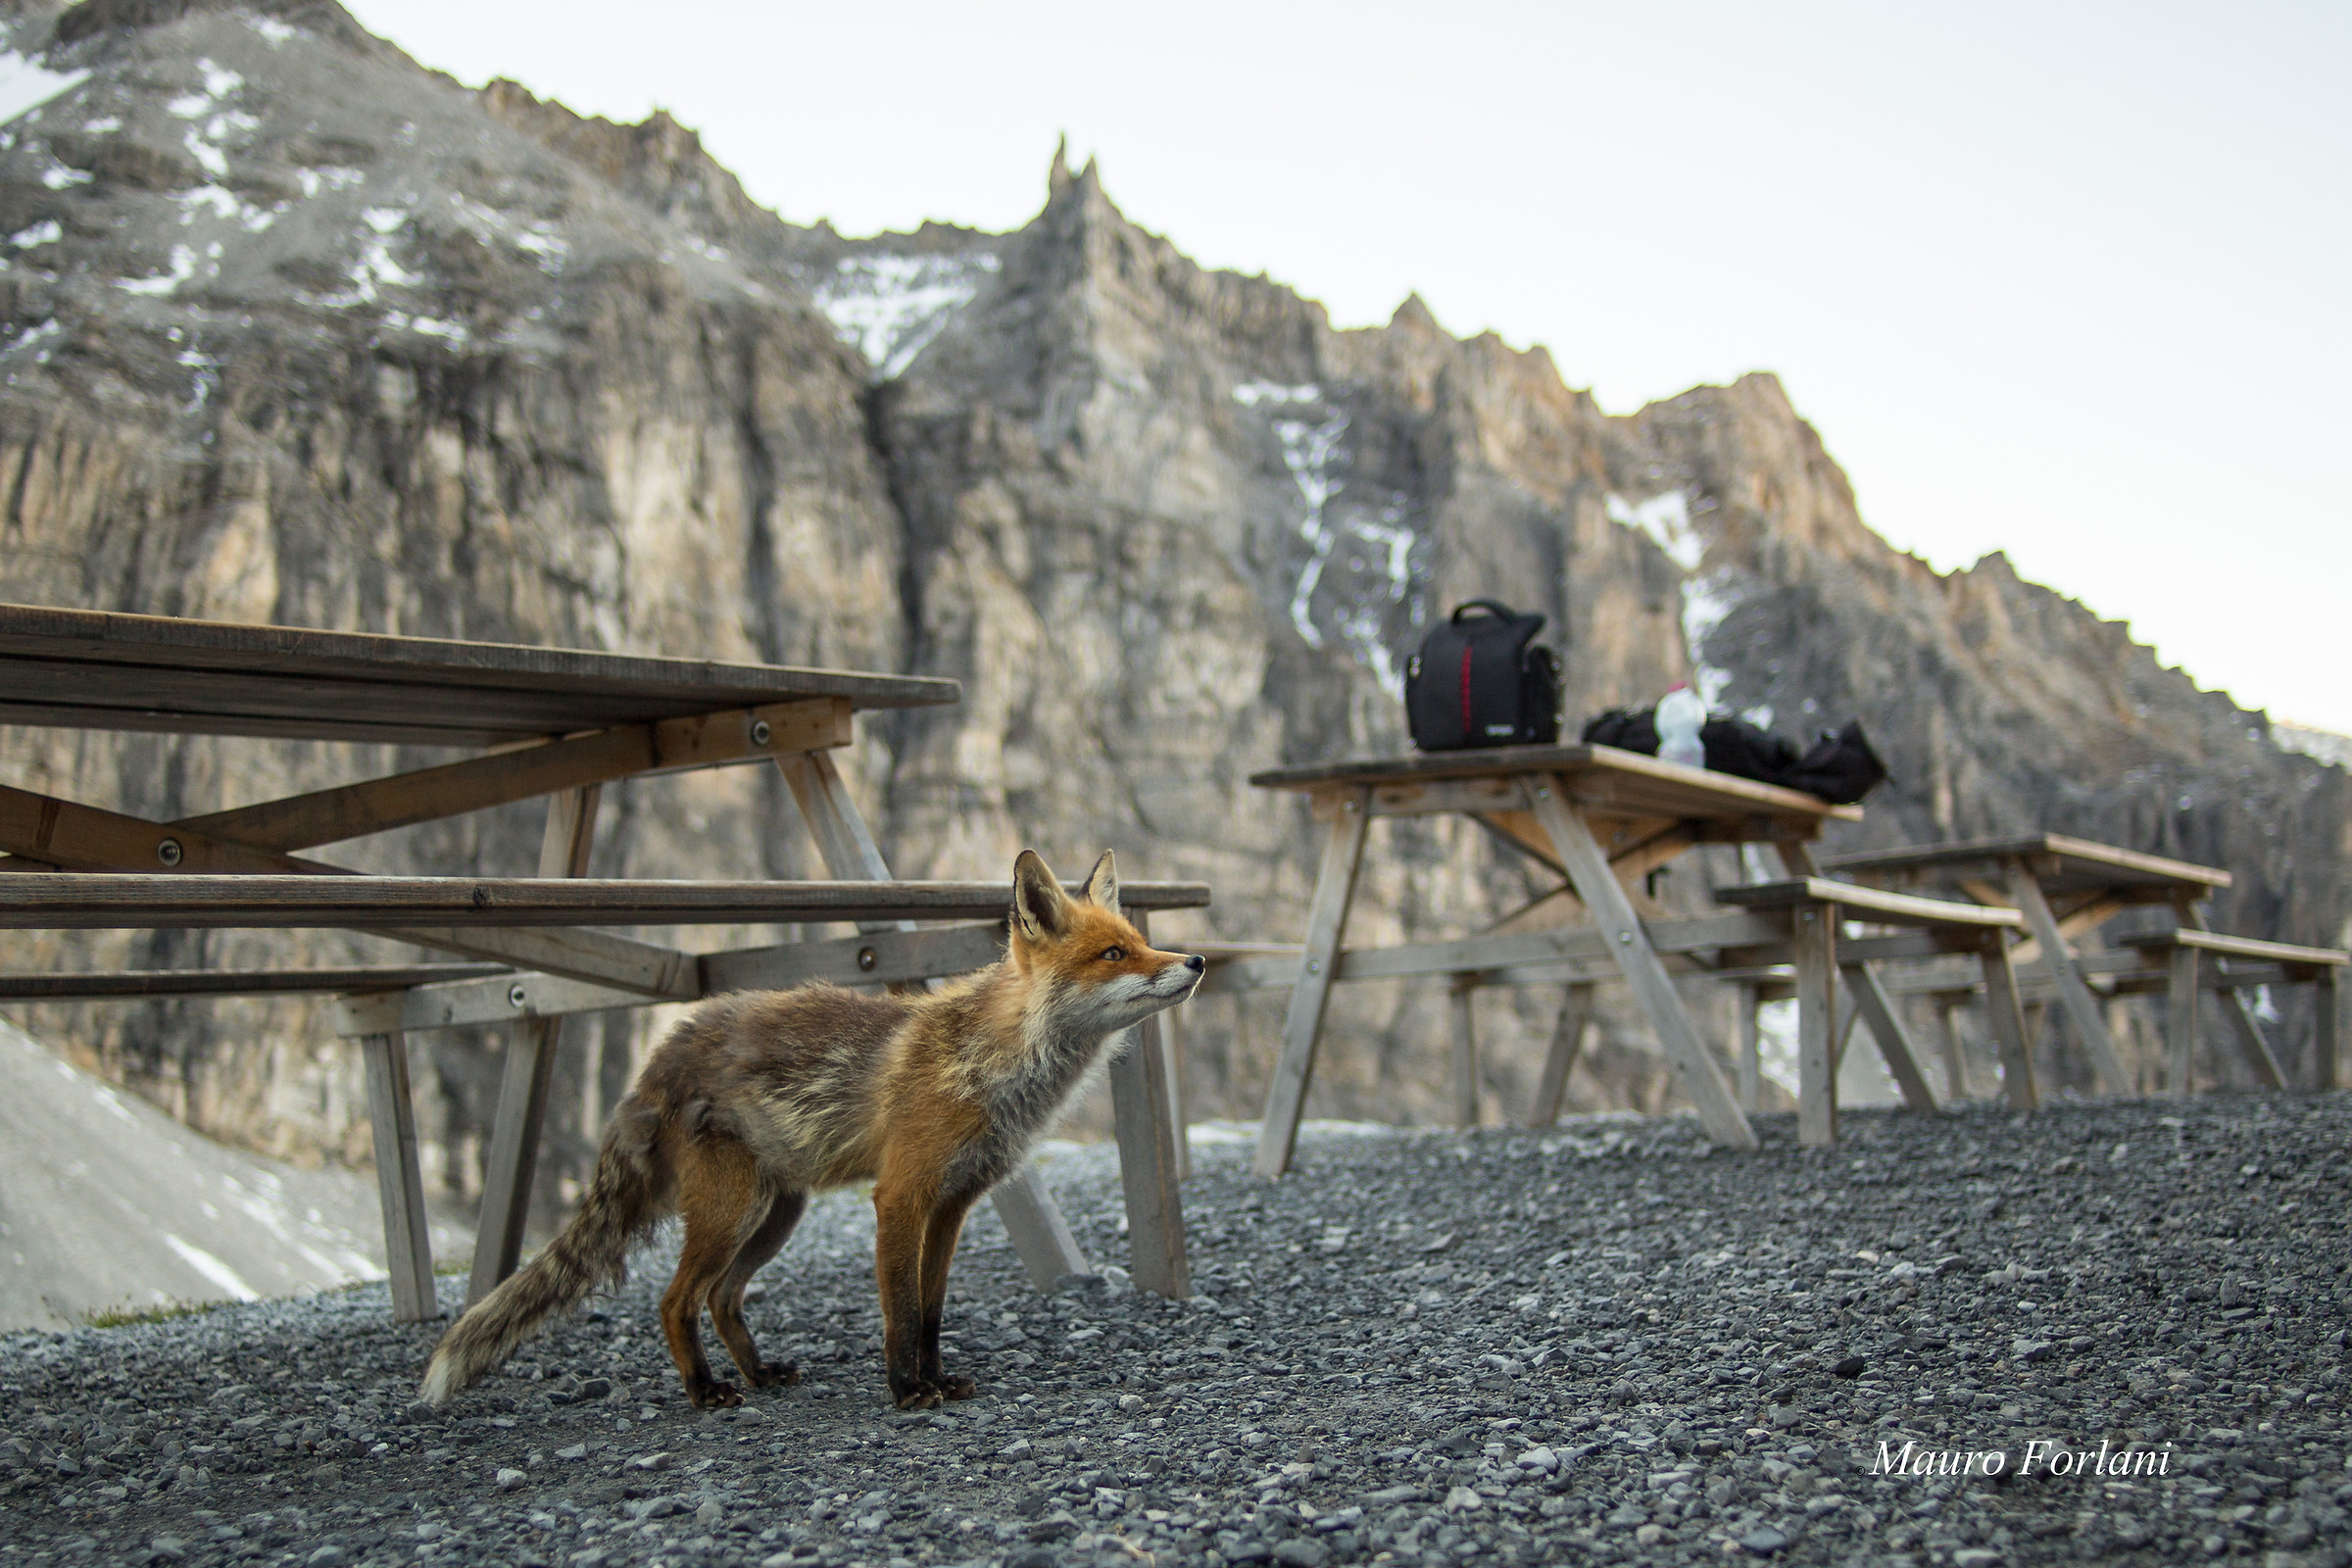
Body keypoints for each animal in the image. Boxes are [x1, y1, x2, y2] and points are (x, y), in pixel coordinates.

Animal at [419, 848, 1204, 1412]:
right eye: (1113, 955)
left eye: (1140, 941)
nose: (1195, 960)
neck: (993, 1063)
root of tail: (664, 1050)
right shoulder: (901, 1195)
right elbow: (899, 1311)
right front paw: (906, 1391)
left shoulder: (953, 1203)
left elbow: (931, 1312)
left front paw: (938, 1380)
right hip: (730, 1211)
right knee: (675, 1301)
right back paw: (705, 1391)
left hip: (775, 1215)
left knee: (722, 1298)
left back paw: (759, 1373)